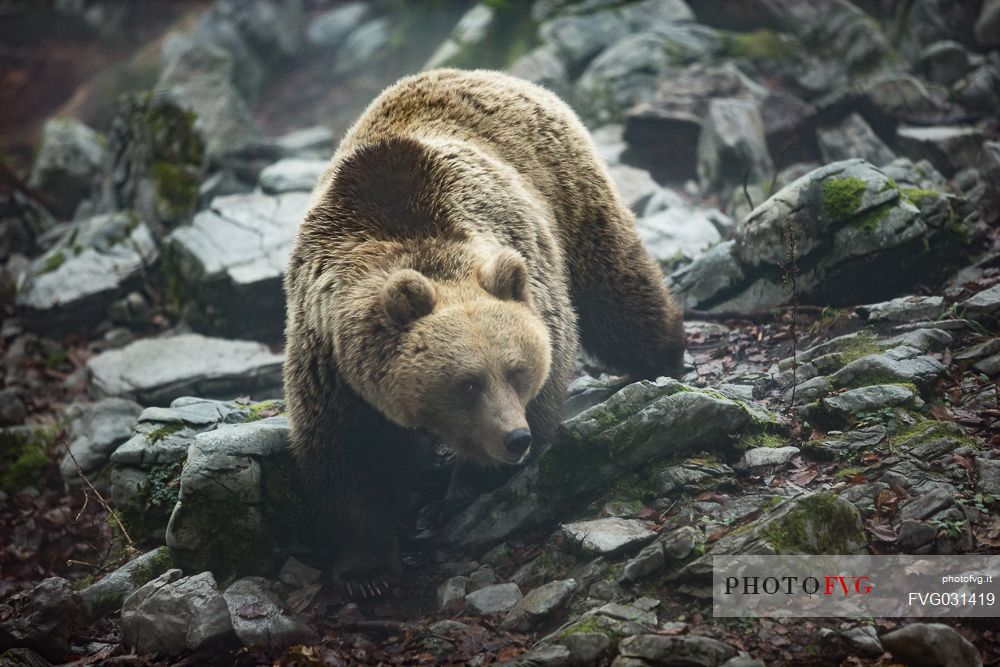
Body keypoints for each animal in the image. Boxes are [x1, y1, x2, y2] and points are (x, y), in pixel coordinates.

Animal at [286, 70, 684, 596]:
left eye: (516, 371)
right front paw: (365, 572)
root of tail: (483, 73)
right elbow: (349, 455)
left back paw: (664, 357)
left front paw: (464, 488)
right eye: (467, 384)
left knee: (615, 289)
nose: (515, 438)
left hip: (568, 189)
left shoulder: (529, 277)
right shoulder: (329, 355)